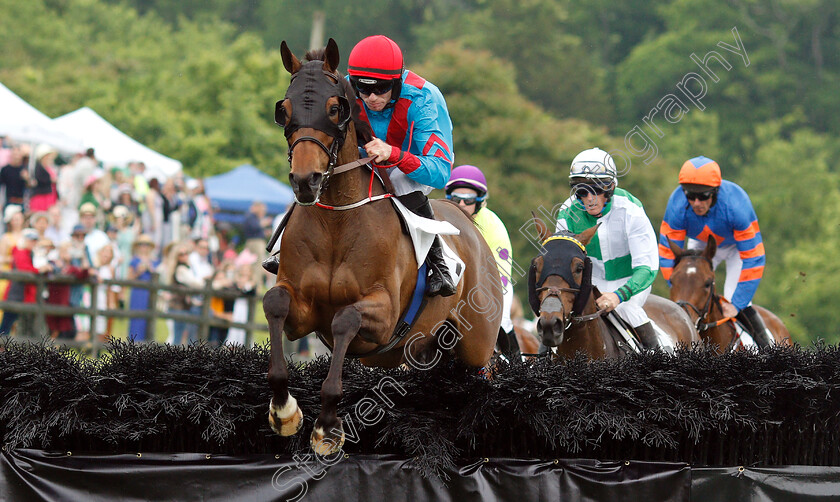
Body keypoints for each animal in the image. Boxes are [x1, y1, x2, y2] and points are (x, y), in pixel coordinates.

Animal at [264, 39, 498, 454]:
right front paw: (285, 411)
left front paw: (328, 427)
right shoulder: (302, 311)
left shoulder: (384, 314)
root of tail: (469, 225)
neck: (337, 222)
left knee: (485, 371)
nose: (306, 181)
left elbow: (345, 318)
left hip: (476, 343)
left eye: (335, 108)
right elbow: (274, 302)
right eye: (284, 110)